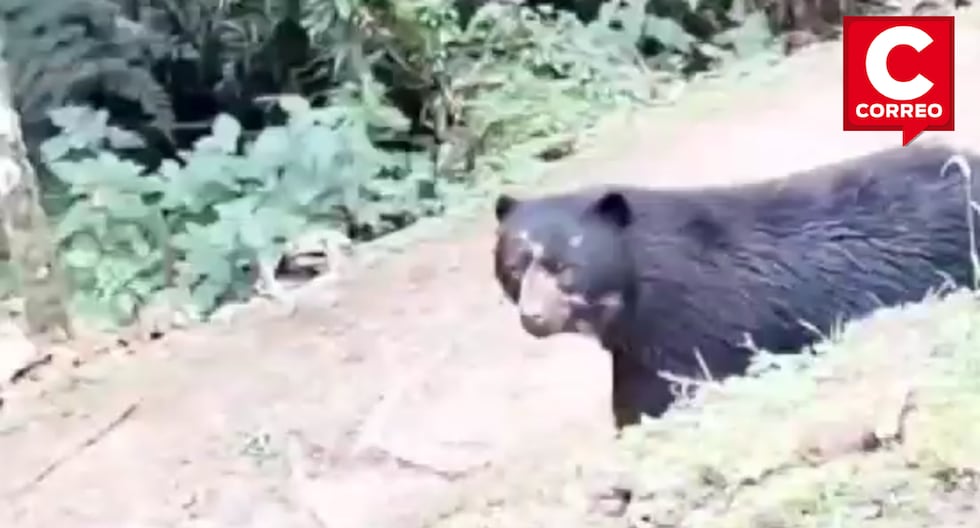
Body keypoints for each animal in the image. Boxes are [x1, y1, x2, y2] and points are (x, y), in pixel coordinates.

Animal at [492, 142, 980, 430]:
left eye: (564, 267)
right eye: (514, 268)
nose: (533, 317)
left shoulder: (688, 329)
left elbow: (667, 396)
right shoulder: (637, 347)